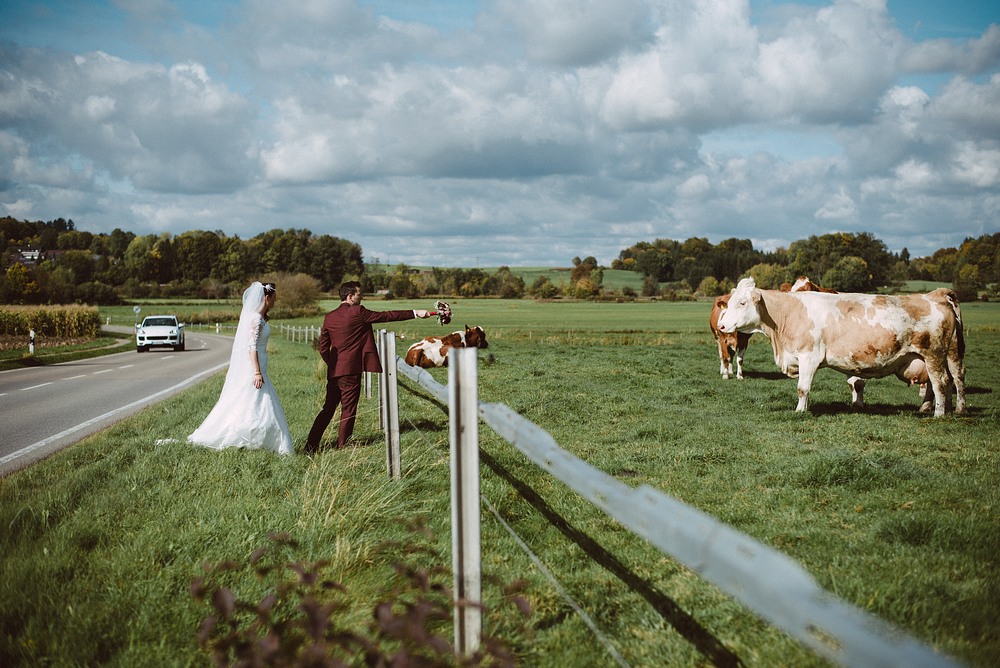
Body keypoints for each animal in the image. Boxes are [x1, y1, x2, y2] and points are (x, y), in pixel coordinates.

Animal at [716, 274, 964, 414]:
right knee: (949, 380)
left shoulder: (809, 357)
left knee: (942, 382)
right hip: (942, 355)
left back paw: (940, 414)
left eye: (742, 302)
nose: (721, 326)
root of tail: (933, 294)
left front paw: (799, 412)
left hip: (935, 355)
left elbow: (802, 388)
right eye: (729, 302)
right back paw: (949, 409)